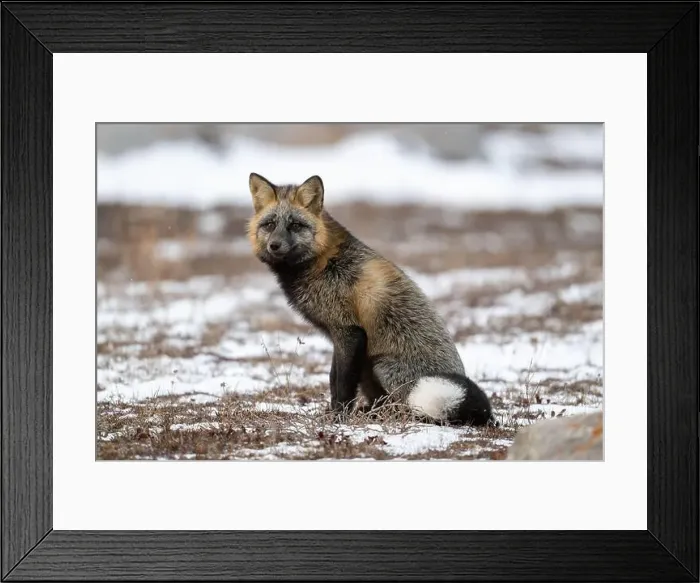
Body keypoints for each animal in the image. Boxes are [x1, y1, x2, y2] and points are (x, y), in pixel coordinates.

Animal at [246, 172, 494, 426]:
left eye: (295, 225)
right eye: (269, 224)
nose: (274, 245)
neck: (322, 261)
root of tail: (487, 416)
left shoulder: (349, 332)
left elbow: (342, 385)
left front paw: (338, 418)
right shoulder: (338, 336)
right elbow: (332, 379)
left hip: (381, 366)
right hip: (367, 367)